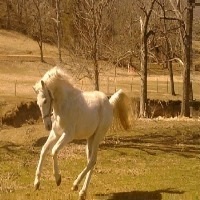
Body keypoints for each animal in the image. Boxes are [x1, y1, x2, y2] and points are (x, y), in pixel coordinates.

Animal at [33, 66, 133, 199]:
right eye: (37, 102)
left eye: (45, 101)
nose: (47, 126)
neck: (64, 105)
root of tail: (109, 104)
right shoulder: (55, 133)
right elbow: (44, 150)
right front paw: (36, 183)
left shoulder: (68, 135)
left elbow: (53, 151)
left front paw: (58, 179)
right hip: (90, 139)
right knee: (91, 161)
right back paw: (82, 192)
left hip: (98, 137)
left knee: (92, 161)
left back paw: (76, 185)